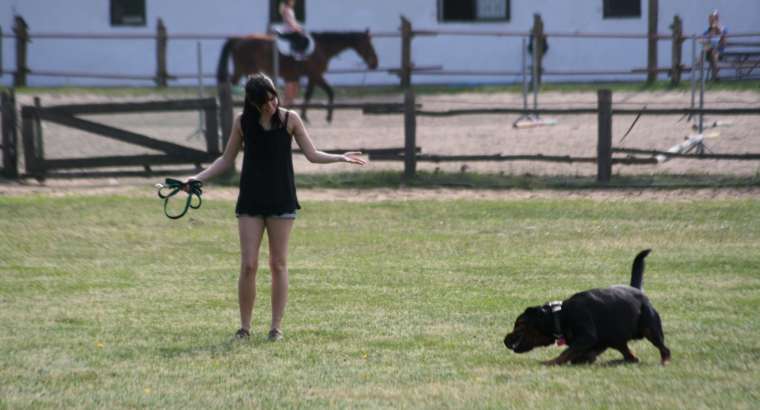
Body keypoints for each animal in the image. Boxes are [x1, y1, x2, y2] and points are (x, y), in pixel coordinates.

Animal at [215, 30, 378, 121]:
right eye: (368, 45)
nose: (375, 63)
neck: (322, 47)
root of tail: (237, 39)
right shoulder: (316, 75)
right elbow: (329, 92)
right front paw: (328, 116)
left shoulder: (312, 77)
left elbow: (309, 94)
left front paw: (305, 115)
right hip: (245, 69)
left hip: (243, 70)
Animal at [504, 250, 672, 366]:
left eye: (519, 324)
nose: (505, 339)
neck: (560, 316)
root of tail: (637, 290)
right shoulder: (593, 343)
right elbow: (576, 355)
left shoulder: (587, 337)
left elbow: (565, 353)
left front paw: (549, 362)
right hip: (617, 339)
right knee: (631, 357)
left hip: (650, 327)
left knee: (664, 349)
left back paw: (664, 362)